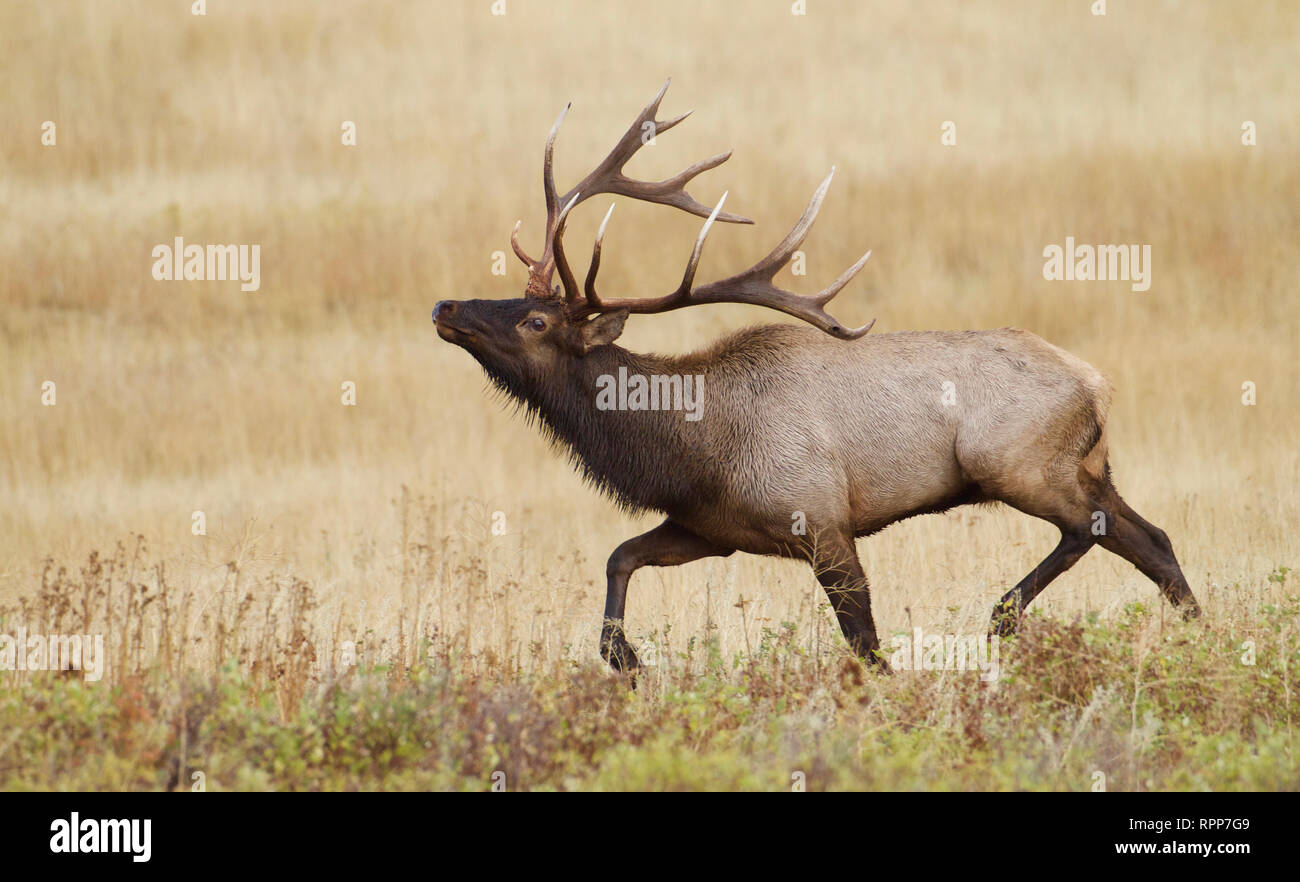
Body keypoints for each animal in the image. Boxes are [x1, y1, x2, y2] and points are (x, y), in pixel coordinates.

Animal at [432, 81, 1201, 677]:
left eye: (536, 321)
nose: (446, 307)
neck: (692, 451)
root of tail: (1097, 385)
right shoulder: (710, 526)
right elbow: (620, 555)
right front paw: (624, 657)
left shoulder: (822, 520)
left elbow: (866, 645)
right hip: (1086, 467)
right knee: (1154, 540)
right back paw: (1199, 635)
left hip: (1016, 463)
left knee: (1092, 530)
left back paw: (1003, 616)